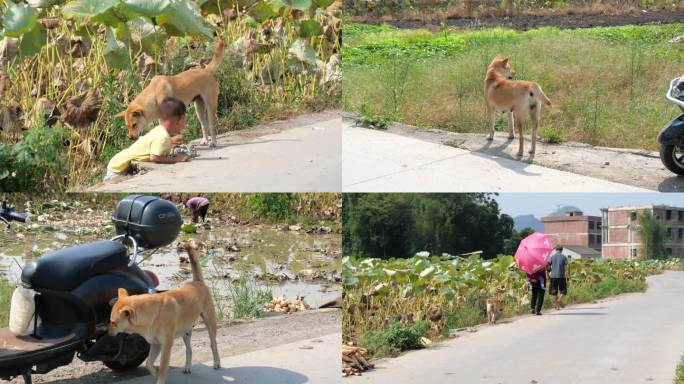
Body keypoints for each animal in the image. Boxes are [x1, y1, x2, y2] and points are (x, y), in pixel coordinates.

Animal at [108, 240, 219, 384]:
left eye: (113, 323)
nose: (108, 332)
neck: (153, 312)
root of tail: (197, 282)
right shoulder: (156, 344)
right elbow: (149, 364)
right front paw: (154, 374)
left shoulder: (166, 346)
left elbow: (162, 368)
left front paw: (159, 378)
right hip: (185, 331)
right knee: (189, 350)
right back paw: (187, 366)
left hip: (210, 323)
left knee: (213, 344)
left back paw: (216, 362)